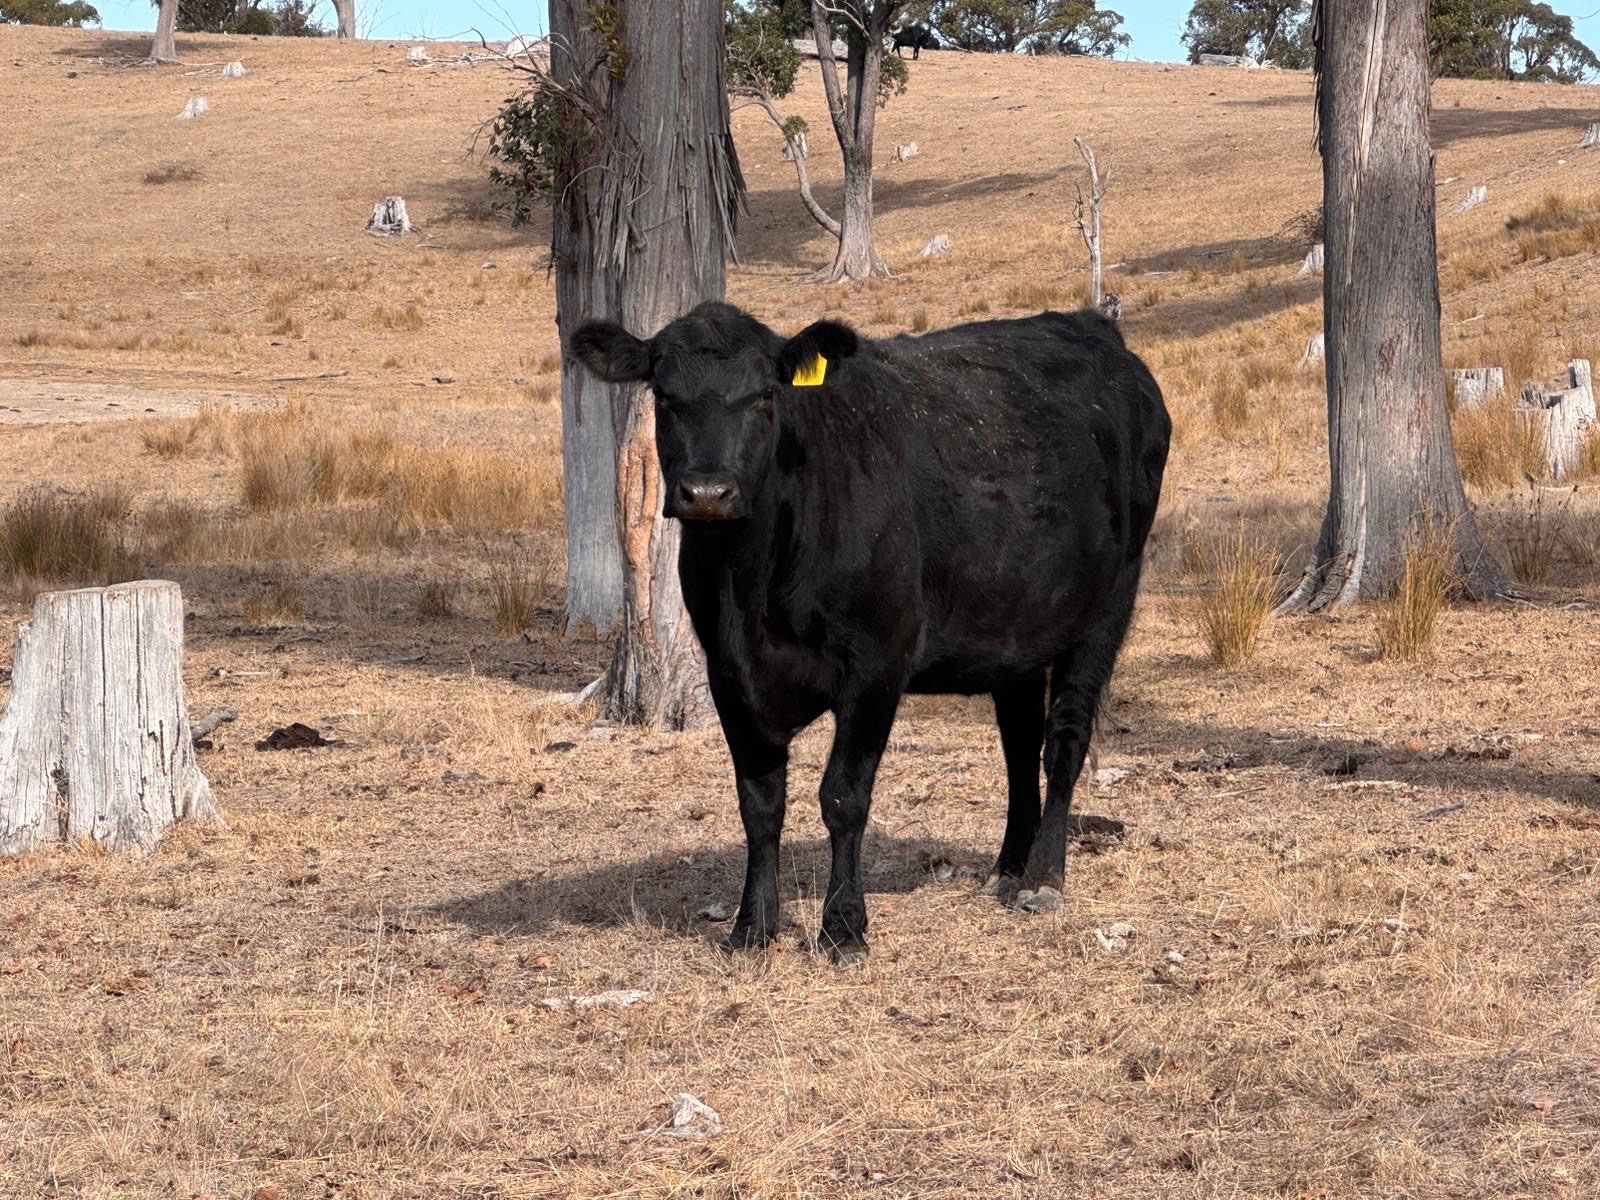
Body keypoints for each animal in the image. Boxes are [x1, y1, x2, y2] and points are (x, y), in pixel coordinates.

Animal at [570, 302, 1169, 963]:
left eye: (764, 394)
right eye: (665, 395)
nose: (707, 492)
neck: (750, 588)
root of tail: (1093, 326)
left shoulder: (877, 667)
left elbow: (843, 797)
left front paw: (843, 926)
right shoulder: (728, 674)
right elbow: (759, 803)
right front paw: (752, 926)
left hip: (1105, 610)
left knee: (1063, 739)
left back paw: (1043, 877)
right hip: (1014, 626)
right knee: (1018, 741)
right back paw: (1009, 867)